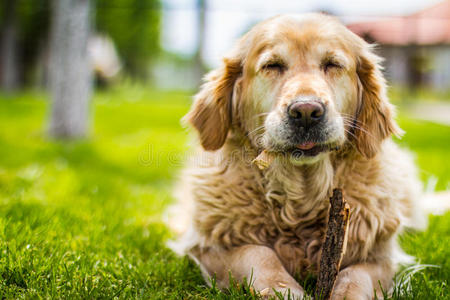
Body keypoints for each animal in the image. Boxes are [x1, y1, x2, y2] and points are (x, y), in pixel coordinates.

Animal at [168, 12, 426, 298]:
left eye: (333, 64)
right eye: (272, 65)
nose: (306, 112)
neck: (302, 195)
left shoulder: (382, 256)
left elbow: (356, 276)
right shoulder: (207, 247)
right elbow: (258, 254)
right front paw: (284, 289)